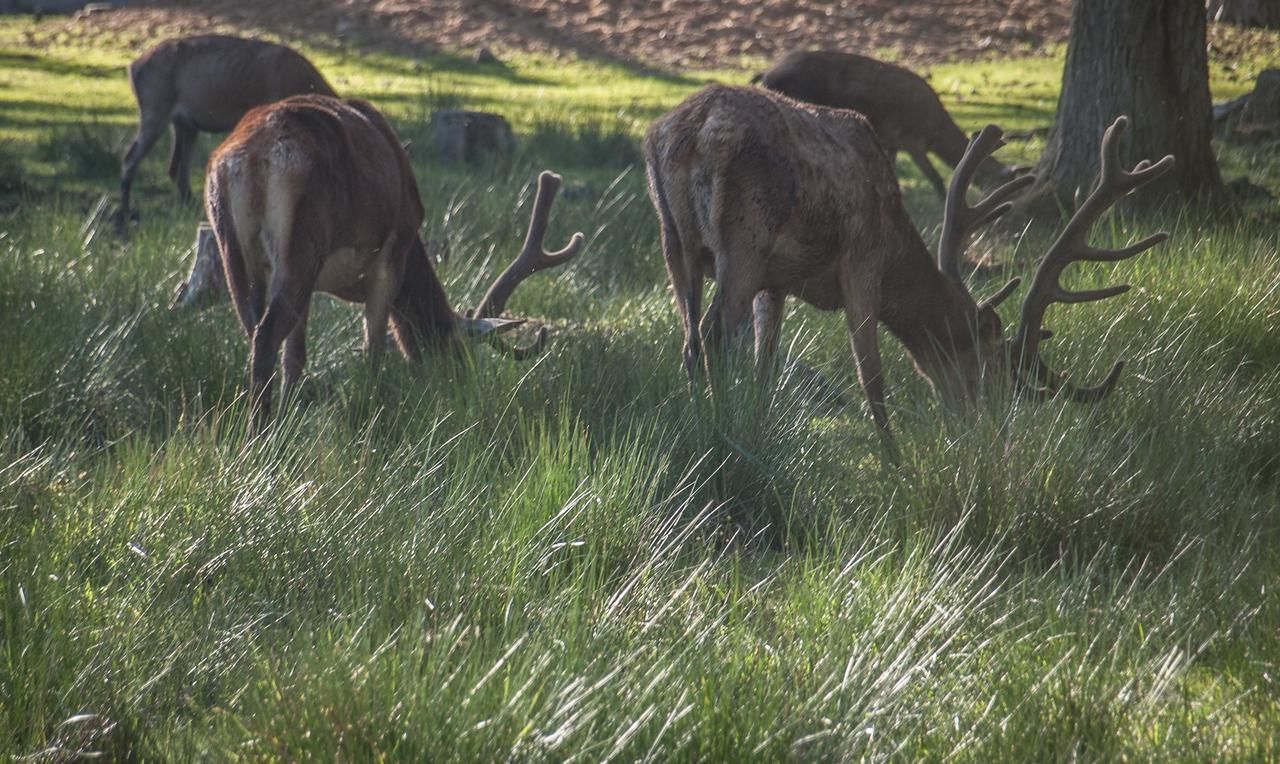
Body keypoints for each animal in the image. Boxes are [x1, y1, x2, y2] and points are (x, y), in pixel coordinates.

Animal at [120, 35, 337, 223]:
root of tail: (132, 68)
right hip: (155, 108)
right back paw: (125, 215)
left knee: (176, 168)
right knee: (131, 158)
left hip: (185, 124)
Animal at [206, 93, 586, 424]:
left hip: (233, 245)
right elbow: (373, 349)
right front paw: (369, 412)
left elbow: (296, 356)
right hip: (303, 243)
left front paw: (289, 416)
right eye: (457, 355)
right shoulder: (392, 253)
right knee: (267, 334)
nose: (463, 397)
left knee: (253, 330)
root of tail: (251, 158)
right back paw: (259, 432)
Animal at [645, 82, 1172, 437]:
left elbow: (764, 363)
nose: (993, 430)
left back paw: (699, 422)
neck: (898, 245)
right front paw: (895, 465)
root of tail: (687, 132)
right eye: (994, 372)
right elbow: (872, 378)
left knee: (690, 339)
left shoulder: (777, 281)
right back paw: (715, 428)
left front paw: (757, 424)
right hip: (744, 239)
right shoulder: (862, 258)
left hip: (674, 240)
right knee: (713, 333)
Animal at [752, 50, 1024, 198]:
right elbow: (936, 178)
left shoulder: (892, 142)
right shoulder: (912, 141)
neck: (935, 131)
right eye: (1001, 183)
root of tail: (765, 73)